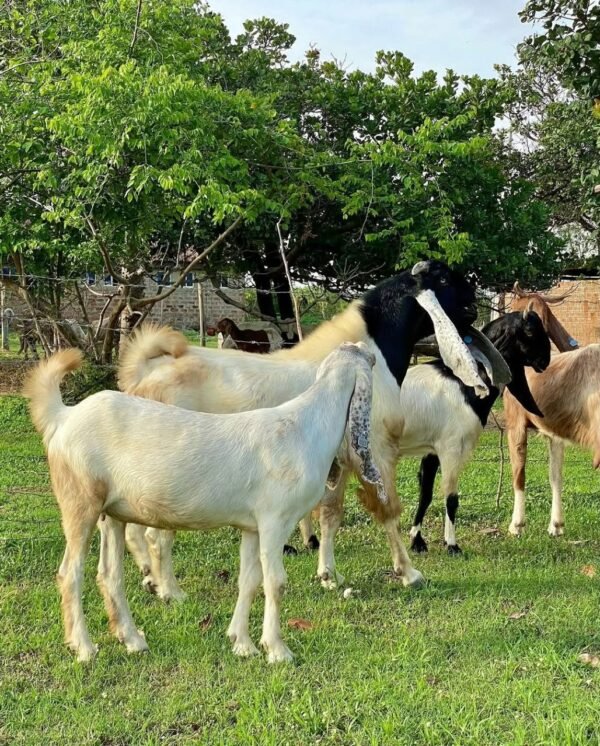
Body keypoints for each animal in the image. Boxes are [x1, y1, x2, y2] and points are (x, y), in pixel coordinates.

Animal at [25, 342, 386, 663]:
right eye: (371, 361)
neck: (306, 428)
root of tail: (63, 417)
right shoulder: (275, 521)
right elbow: (275, 582)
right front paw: (276, 650)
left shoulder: (252, 527)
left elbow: (249, 581)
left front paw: (242, 643)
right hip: (80, 502)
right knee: (70, 573)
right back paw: (84, 649)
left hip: (112, 513)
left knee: (109, 575)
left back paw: (133, 640)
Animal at [118, 260, 486, 599]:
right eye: (442, 279)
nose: (474, 303)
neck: (370, 352)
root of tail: (145, 376)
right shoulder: (377, 450)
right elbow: (387, 510)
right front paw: (408, 572)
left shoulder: (339, 460)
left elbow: (331, 514)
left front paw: (328, 574)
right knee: (154, 532)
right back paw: (169, 590)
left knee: (133, 528)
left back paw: (151, 578)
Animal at [401, 309, 551, 553]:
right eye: (529, 331)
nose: (545, 360)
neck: (466, 383)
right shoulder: (452, 448)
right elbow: (451, 498)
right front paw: (452, 545)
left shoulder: (432, 450)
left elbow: (426, 493)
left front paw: (417, 541)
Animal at [503, 283, 592, 537]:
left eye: (514, 307)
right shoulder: (555, 434)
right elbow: (556, 475)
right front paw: (556, 525)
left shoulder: (515, 423)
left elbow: (518, 472)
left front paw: (516, 525)